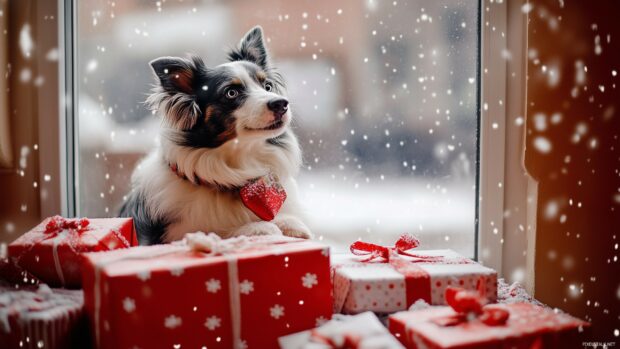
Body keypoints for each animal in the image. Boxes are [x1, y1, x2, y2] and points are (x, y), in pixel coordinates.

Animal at [120, 25, 314, 245]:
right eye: (231, 93)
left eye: (267, 86)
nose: (281, 103)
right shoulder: (173, 235)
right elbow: (218, 232)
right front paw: (257, 227)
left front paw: (289, 222)